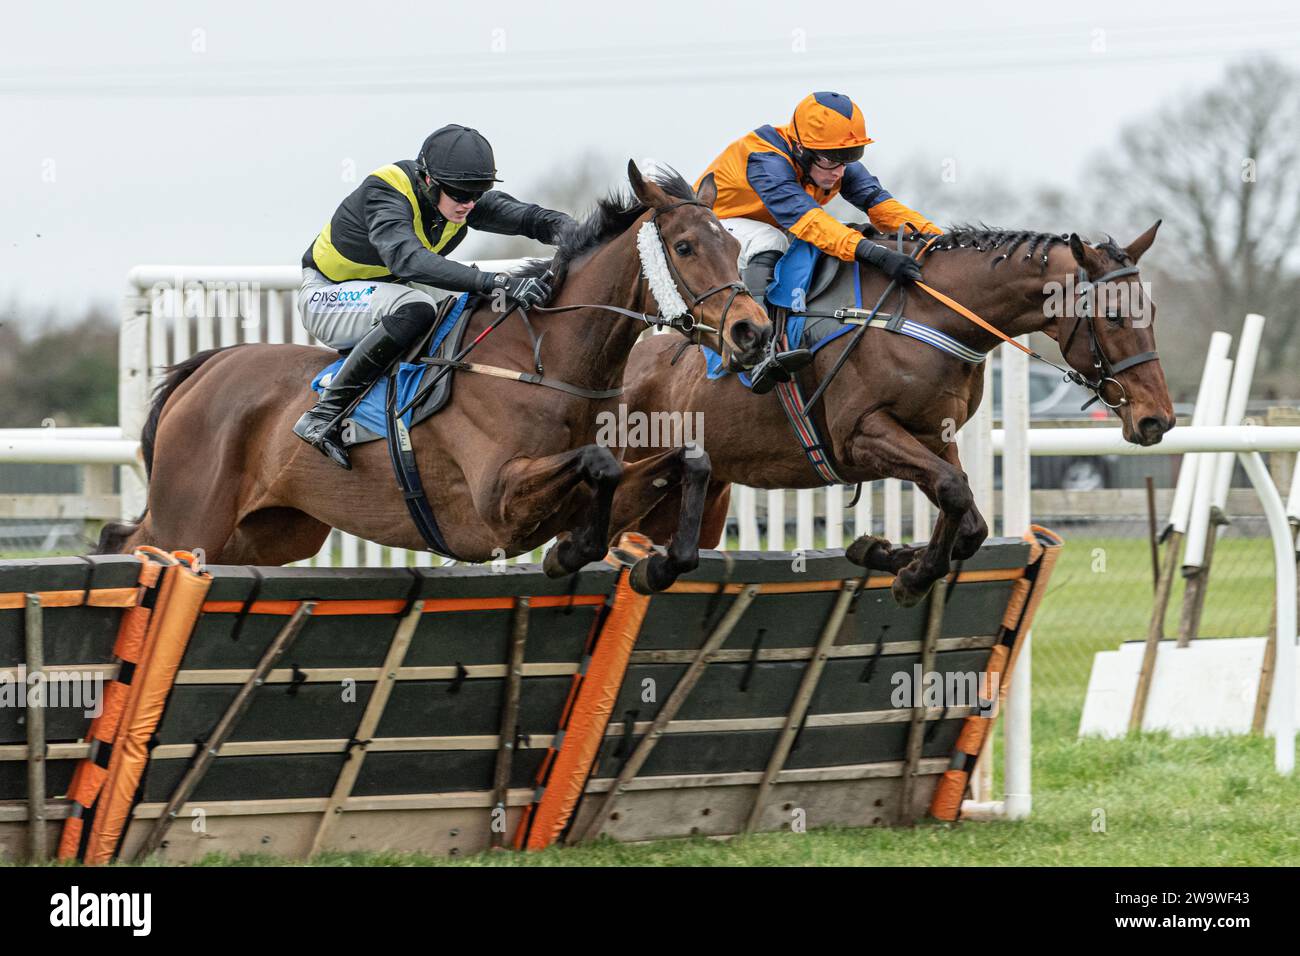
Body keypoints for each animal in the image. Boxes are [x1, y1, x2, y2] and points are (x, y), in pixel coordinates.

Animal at [101, 162, 774, 574]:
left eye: (734, 245)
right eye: (685, 247)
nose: (753, 332)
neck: (547, 364)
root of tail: (206, 367)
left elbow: (689, 460)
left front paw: (664, 561)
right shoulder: (498, 500)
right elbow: (598, 463)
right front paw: (574, 553)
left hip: (270, 532)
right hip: (192, 517)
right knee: (136, 542)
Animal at [613, 221, 1175, 600]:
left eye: (1152, 310)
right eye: (1114, 315)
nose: (1158, 419)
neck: (931, 314)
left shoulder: (931, 435)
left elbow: (969, 520)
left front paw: (885, 553)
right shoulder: (861, 434)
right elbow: (953, 490)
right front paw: (913, 575)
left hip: (698, 497)